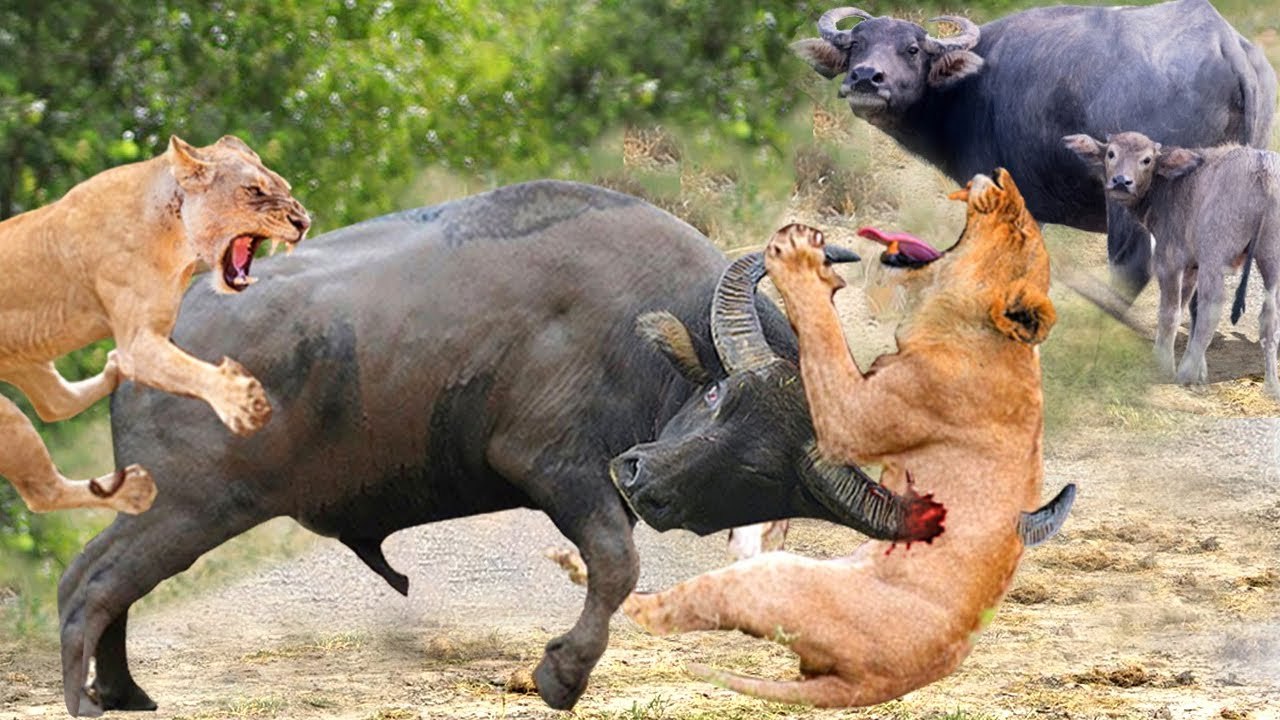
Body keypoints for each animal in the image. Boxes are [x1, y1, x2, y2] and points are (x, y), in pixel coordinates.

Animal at [0, 135, 309, 515]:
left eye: (285, 187)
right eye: (253, 190)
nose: (303, 222)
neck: (178, 241)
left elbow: (178, 366)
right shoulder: (138, 343)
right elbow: (186, 370)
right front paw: (241, 401)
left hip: (28, 360)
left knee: (55, 403)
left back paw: (113, 372)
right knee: (42, 492)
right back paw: (136, 490)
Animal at [56, 181, 944, 716]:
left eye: (760, 473)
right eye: (720, 396)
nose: (645, 479)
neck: (641, 335)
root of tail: (150, 333)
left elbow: (617, 569)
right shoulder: (559, 471)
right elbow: (617, 566)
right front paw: (559, 674)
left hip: (169, 508)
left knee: (105, 588)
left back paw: (126, 691)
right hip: (187, 506)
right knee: (88, 585)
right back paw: (91, 698)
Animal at [623, 169, 1065, 707]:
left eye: (756, 470)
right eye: (715, 393)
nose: (638, 481)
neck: (988, 348)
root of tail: (873, 683)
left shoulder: (857, 410)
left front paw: (800, 261)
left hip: (772, 579)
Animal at [792, 0, 1276, 298]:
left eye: (911, 49)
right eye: (857, 44)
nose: (865, 78)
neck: (967, 87)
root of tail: (1225, 42)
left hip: (1125, 194)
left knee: (1134, 265)